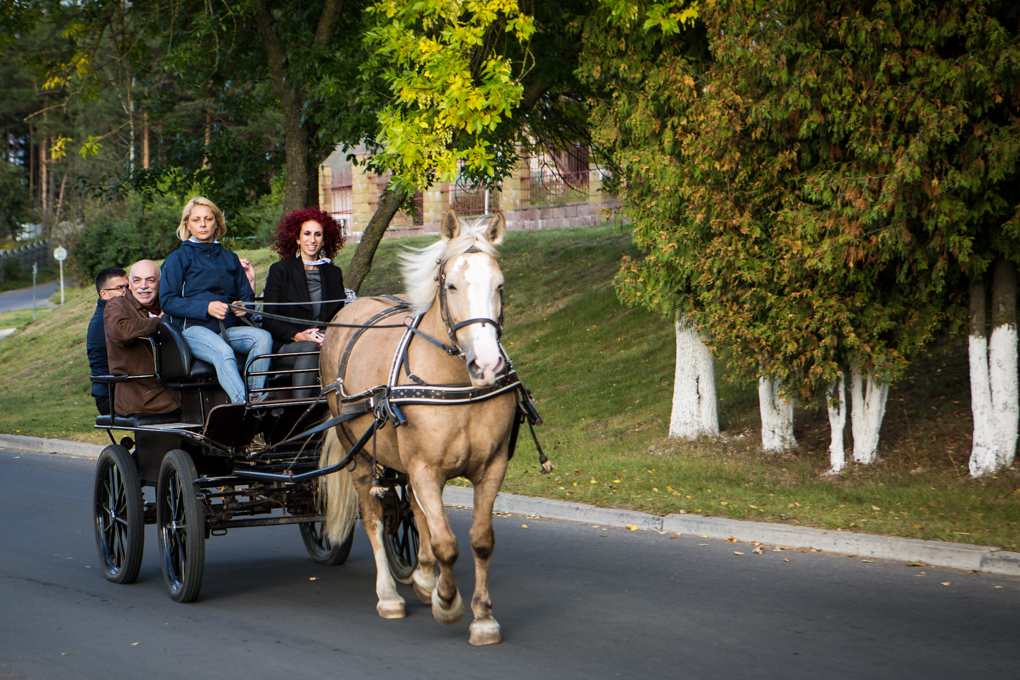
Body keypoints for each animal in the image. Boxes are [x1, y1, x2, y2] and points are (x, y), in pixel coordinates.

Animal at [320, 210, 518, 648]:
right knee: (374, 517)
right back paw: (390, 596)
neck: (458, 384)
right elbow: (446, 542)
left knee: (413, 507)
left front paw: (483, 617)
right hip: (359, 454)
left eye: (499, 284)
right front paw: (448, 602)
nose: (487, 365)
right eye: (452, 284)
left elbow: (480, 540)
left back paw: (424, 576)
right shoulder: (426, 467)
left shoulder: (492, 467)